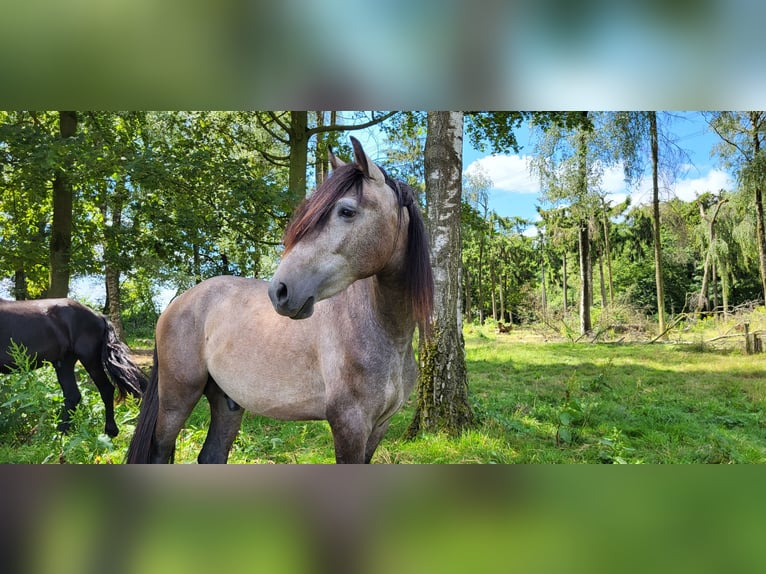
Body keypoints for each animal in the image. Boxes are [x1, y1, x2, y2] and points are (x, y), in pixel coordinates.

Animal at [0, 300, 148, 438]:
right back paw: (61, 433)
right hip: (64, 363)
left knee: (106, 389)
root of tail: (99, 316)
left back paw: (109, 431)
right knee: (73, 395)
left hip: (90, 360)